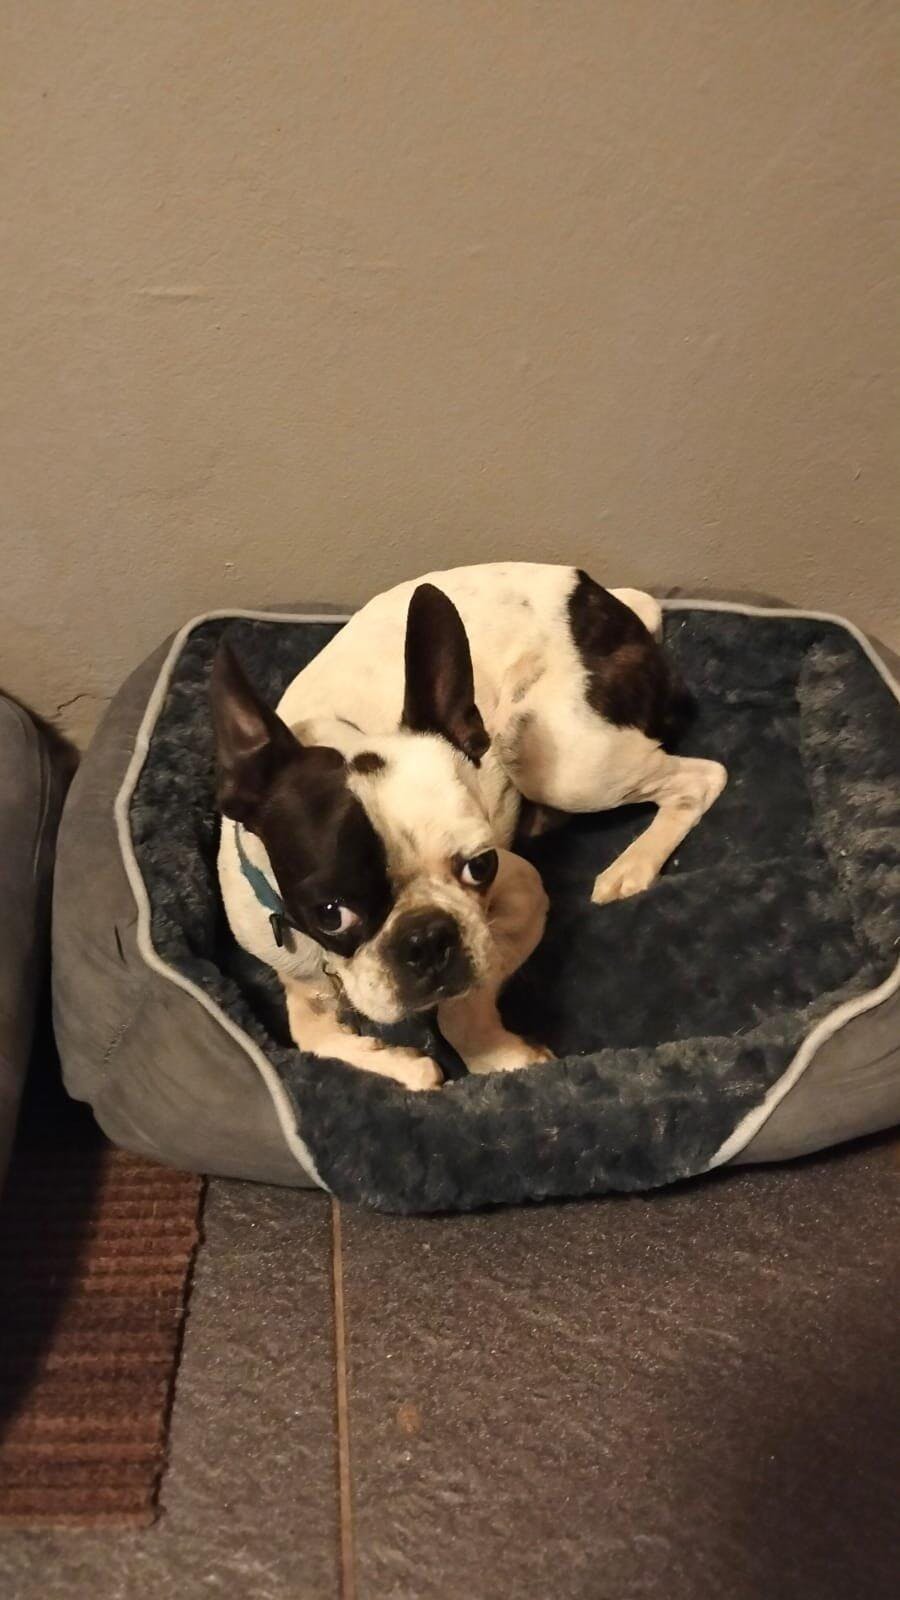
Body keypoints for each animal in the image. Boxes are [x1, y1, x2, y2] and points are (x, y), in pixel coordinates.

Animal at [212, 563, 727, 1090]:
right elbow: (309, 1035)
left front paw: (495, 1054)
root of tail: (596, 593)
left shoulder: (519, 899)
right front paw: (401, 1065)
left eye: (481, 867)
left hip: (555, 760)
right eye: (331, 914)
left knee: (702, 777)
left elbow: (458, 1007)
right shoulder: (295, 973)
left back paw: (632, 866)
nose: (426, 938)